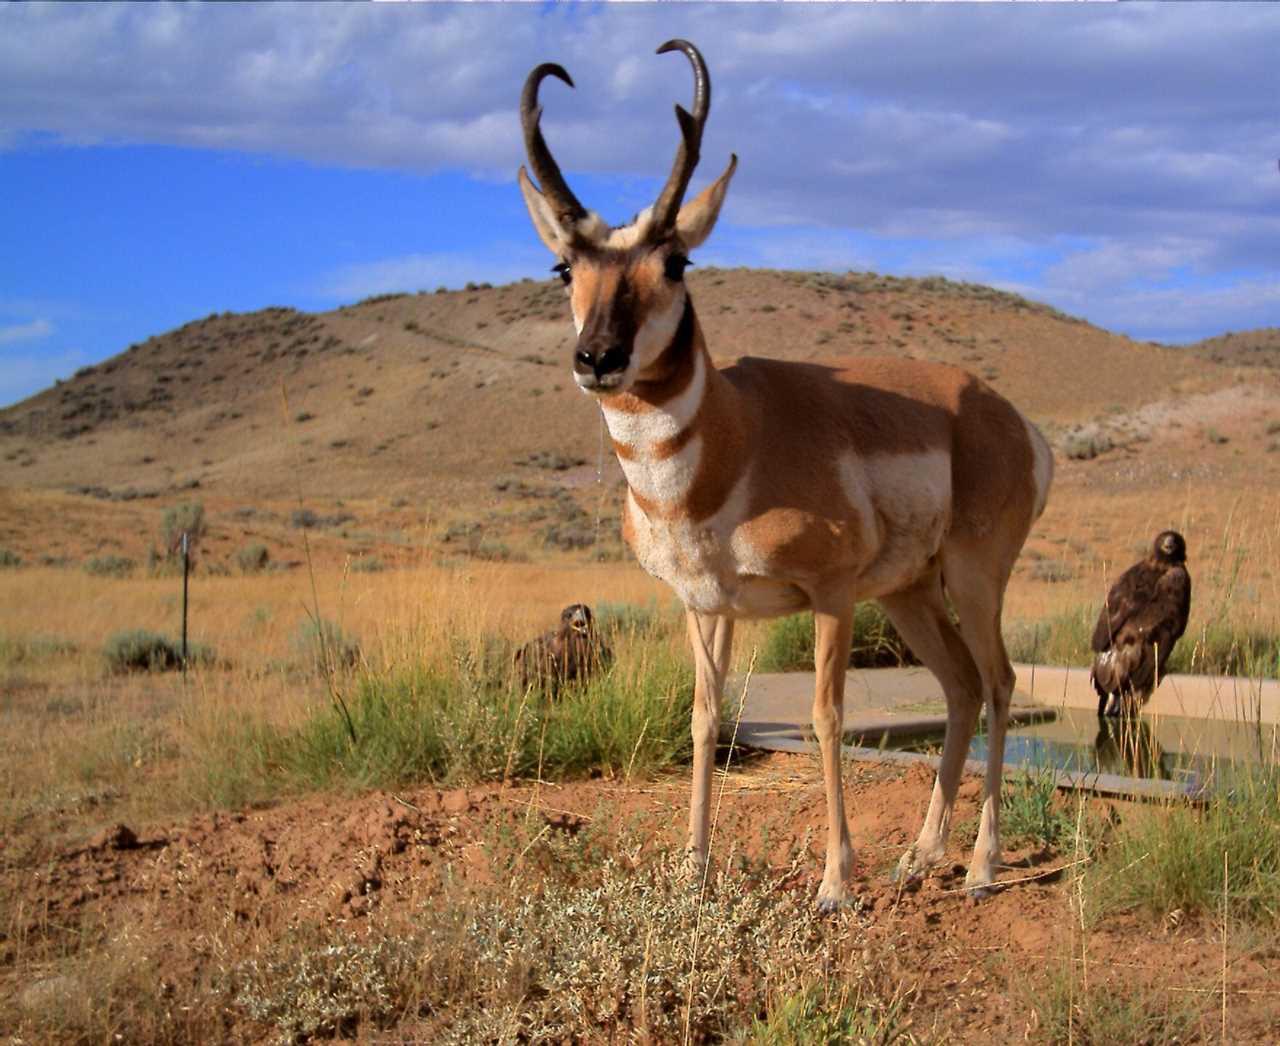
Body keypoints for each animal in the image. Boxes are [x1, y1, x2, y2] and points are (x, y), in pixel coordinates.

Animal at [514, 38, 1054, 906]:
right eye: (564, 267)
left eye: (677, 259)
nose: (598, 358)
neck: (734, 439)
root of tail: (1001, 413)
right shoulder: (706, 606)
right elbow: (704, 717)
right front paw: (693, 869)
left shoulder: (829, 594)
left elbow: (825, 715)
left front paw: (835, 882)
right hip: (908, 592)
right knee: (962, 686)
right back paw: (920, 856)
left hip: (972, 575)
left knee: (999, 682)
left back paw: (979, 866)